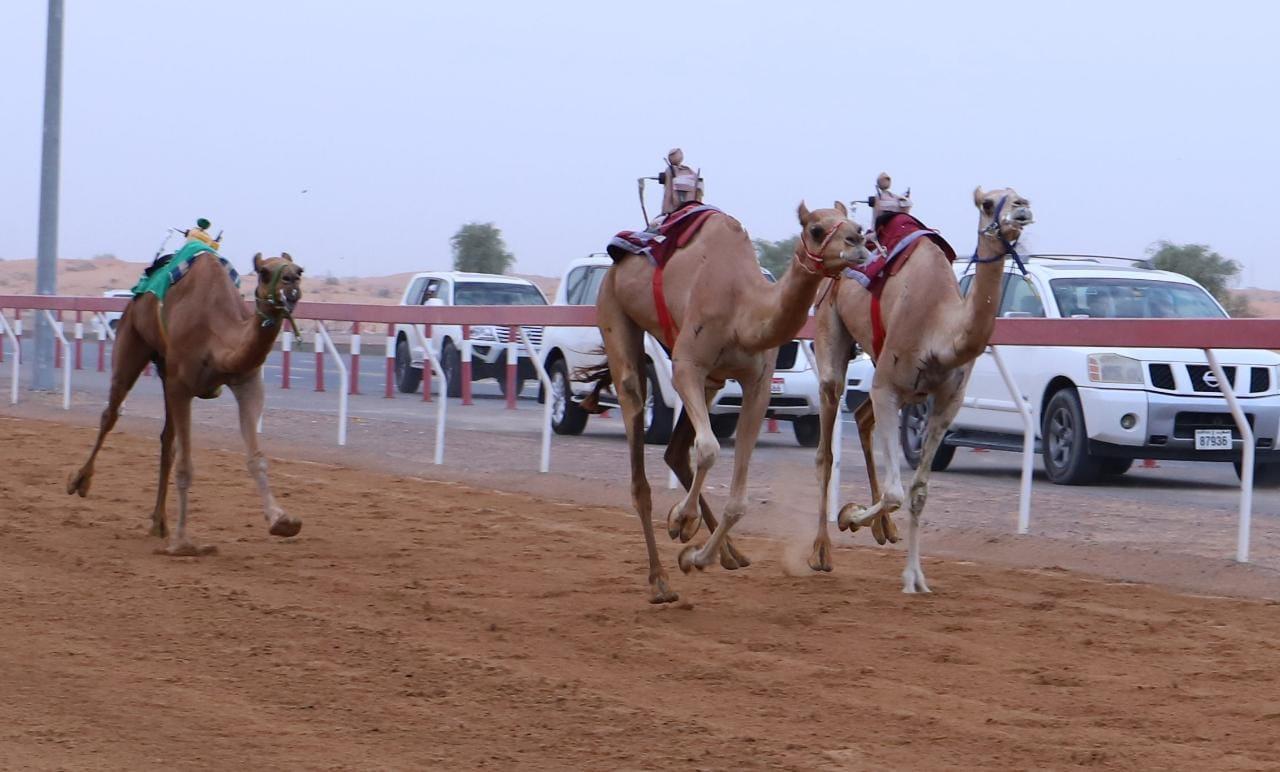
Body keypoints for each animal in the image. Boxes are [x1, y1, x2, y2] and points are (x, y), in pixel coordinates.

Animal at [67, 250, 304, 558]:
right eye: (264, 272)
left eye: (299, 270)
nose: (292, 283)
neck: (218, 335)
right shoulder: (181, 385)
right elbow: (186, 466)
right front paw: (183, 542)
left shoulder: (247, 382)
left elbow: (256, 459)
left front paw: (282, 520)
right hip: (133, 339)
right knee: (111, 414)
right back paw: (79, 481)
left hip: (165, 369)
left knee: (167, 440)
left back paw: (159, 523)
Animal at [593, 201, 865, 604]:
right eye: (815, 229)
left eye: (857, 225)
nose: (859, 243)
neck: (743, 309)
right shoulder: (686, 365)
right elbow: (708, 449)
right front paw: (680, 519)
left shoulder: (757, 384)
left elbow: (738, 501)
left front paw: (694, 554)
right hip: (614, 311)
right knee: (637, 447)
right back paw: (660, 581)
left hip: (712, 381)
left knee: (675, 452)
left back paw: (729, 554)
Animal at [814, 185, 1034, 591]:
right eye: (987, 203)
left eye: (1018, 195)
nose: (1022, 208)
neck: (939, 331)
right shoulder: (888, 386)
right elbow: (895, 492)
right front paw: (849, 515)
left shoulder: (947, 401)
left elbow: (917, 492)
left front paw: (915, 578)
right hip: (830, 328)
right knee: (826, 445)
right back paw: (820, 552)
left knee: (862, 418)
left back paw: (884, 530)